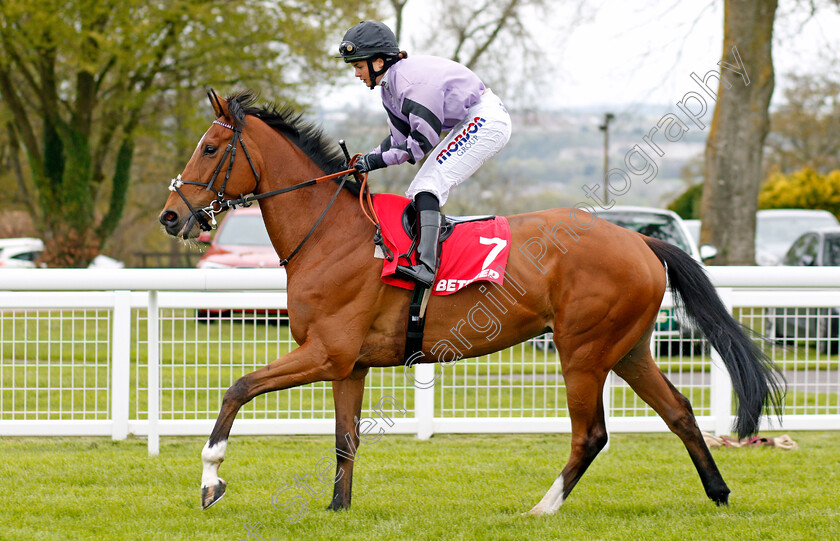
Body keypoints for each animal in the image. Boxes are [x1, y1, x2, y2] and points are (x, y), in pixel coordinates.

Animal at [161, 92, 784, 516]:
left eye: (210, 148)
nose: (171, 215)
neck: (330, 235)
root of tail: (640, 241)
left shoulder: (326, 352)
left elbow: (238, 388)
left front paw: (211, 479)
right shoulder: (349, 364)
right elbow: (345, 440)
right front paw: (338, 508)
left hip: (582, 351)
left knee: (591, 434)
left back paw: (543, 508)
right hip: (628, 348)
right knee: (679, 411)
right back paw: (718, 492)